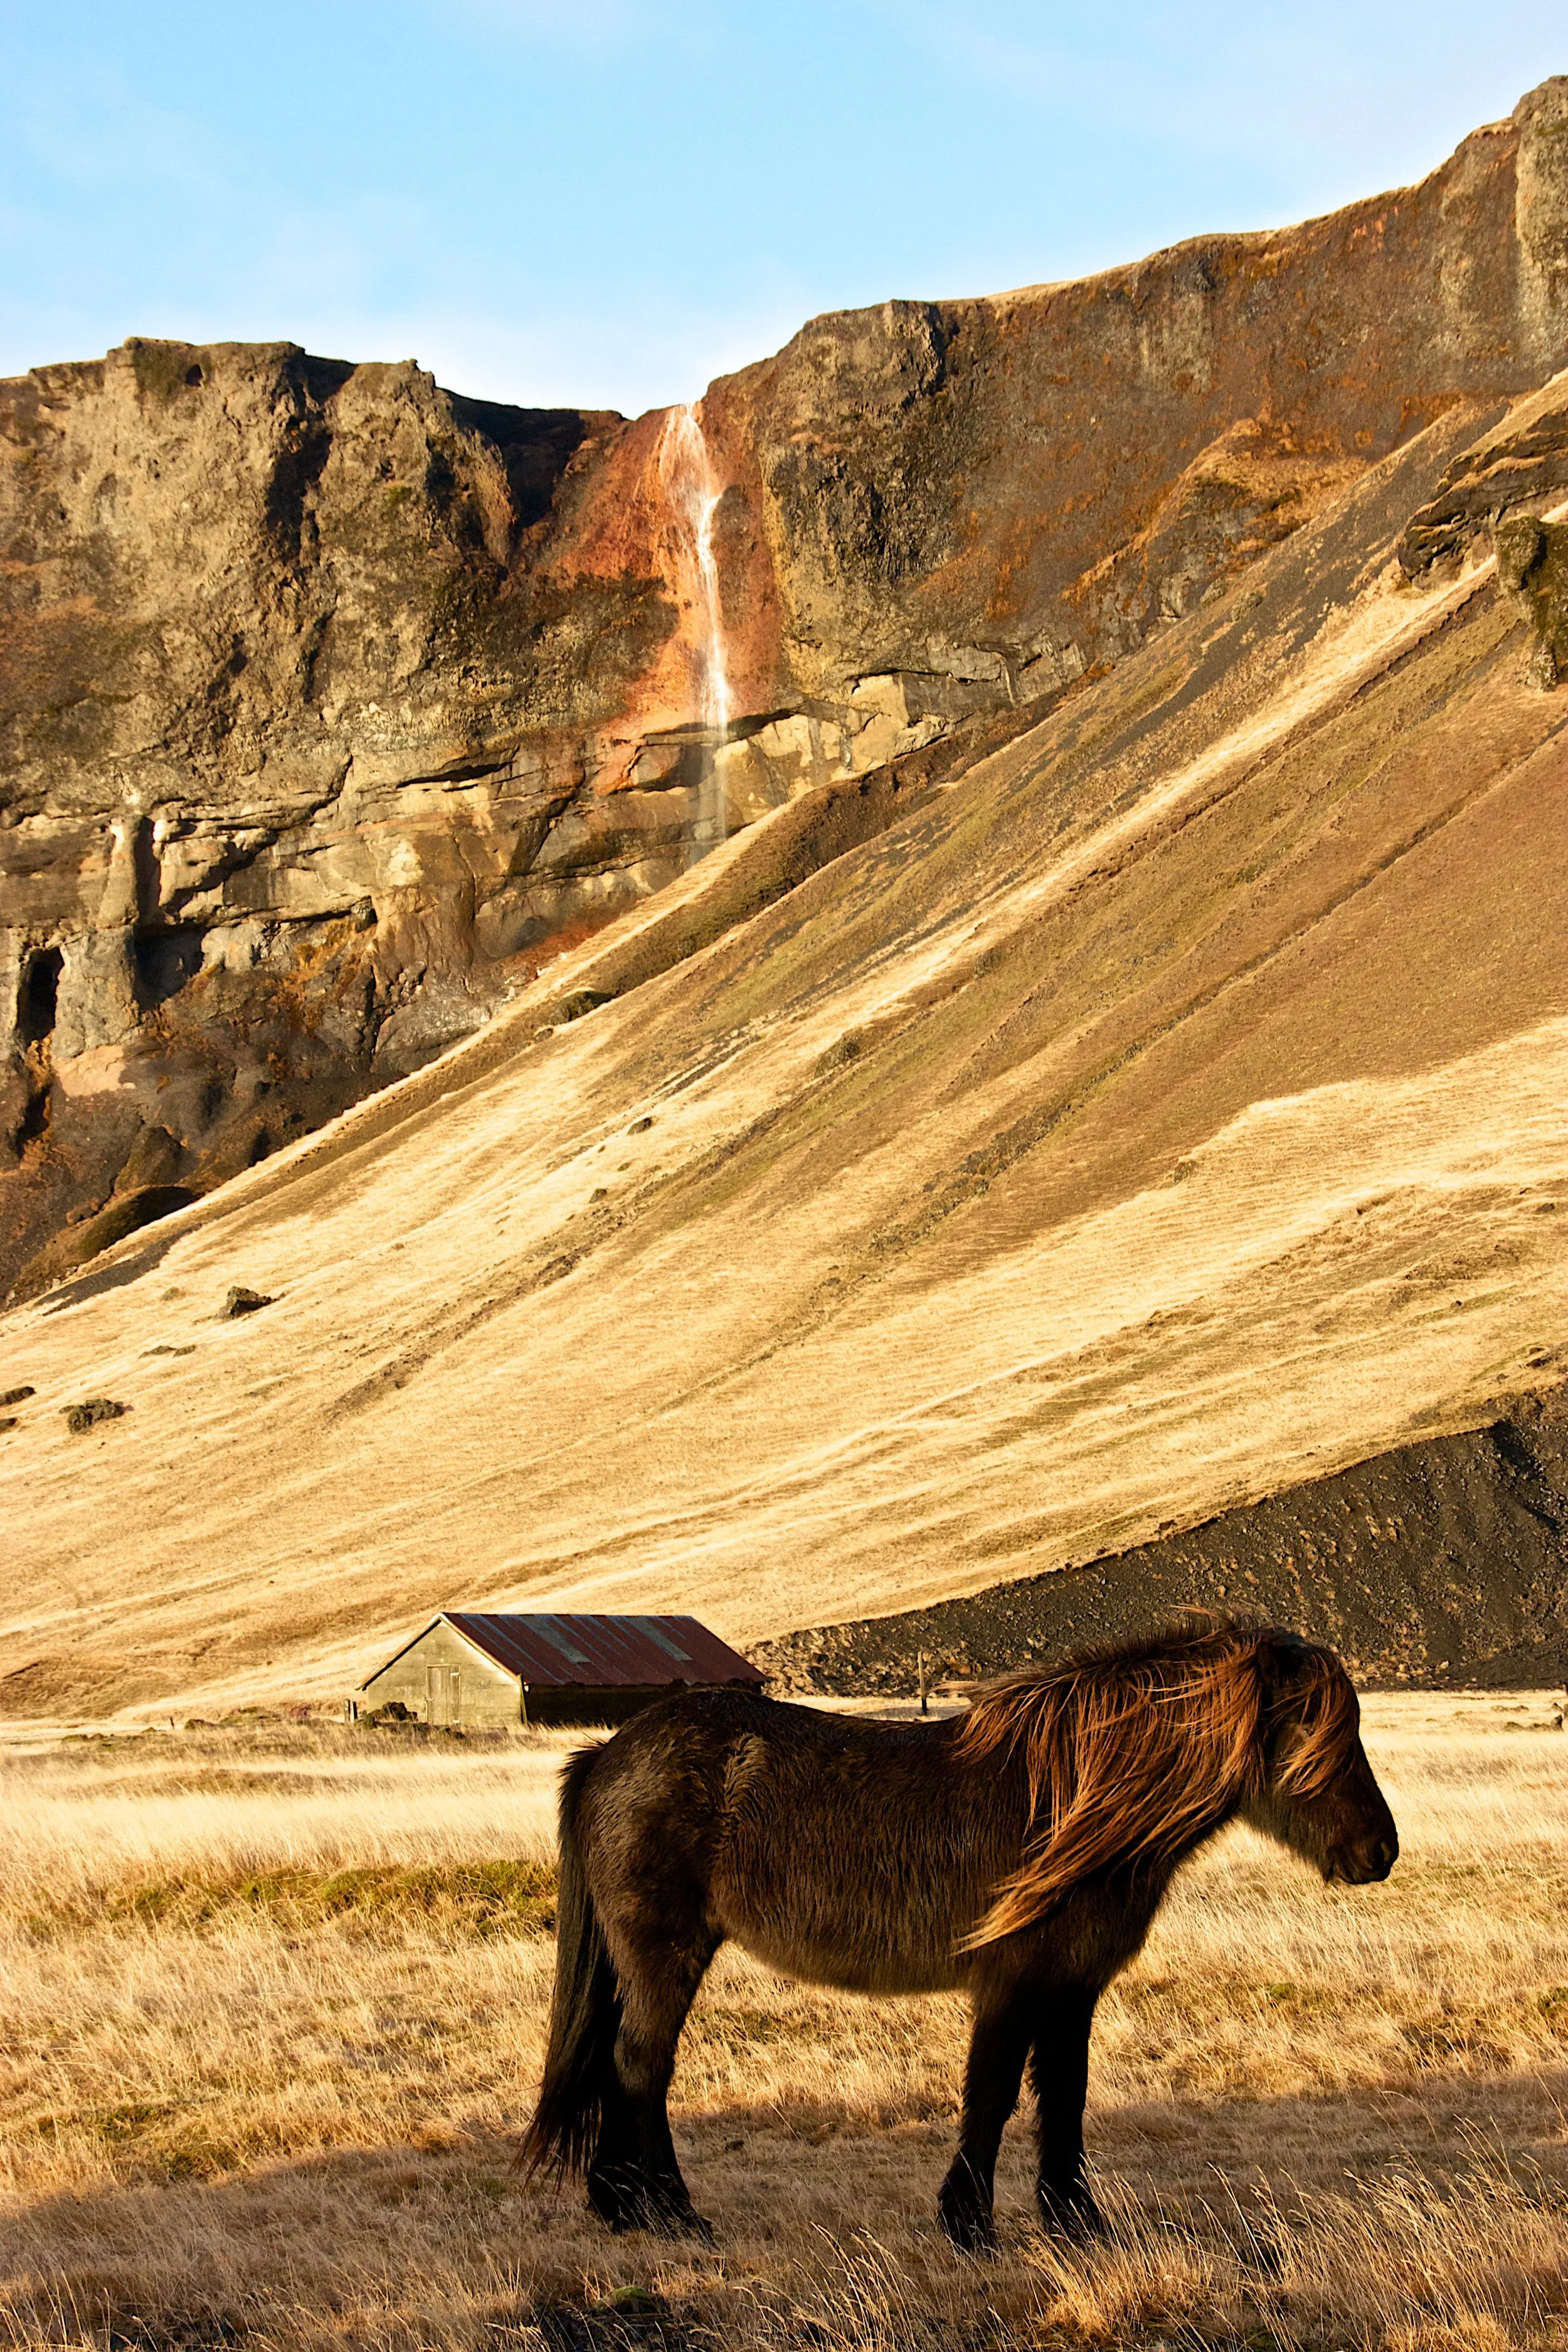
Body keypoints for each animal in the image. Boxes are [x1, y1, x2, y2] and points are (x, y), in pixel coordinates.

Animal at [520, 1621, 1397, 2250]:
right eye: (1313, 1732)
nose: (1379, 1852)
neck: (1069, 1799)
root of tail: (608, 1754)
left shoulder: (1072, 1988)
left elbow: (1064, 2095)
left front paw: (1076, 2222)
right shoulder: (1012, 1981)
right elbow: (994, 2093)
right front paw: (969, 2225)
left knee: (615, 2062)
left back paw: (620, 2207)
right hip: (664, 1953)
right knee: (642, 2066)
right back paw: (674, 2216)